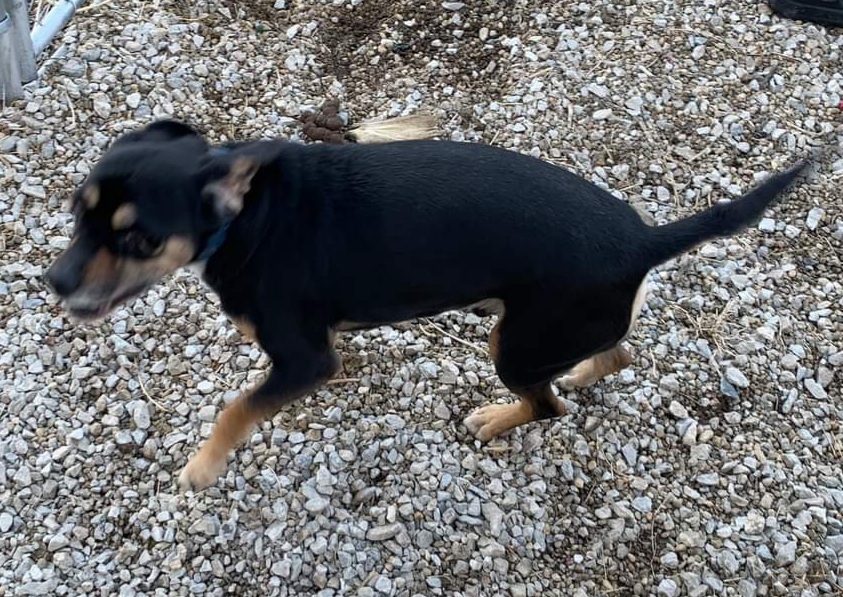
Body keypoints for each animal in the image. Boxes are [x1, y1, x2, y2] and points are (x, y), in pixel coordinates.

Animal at [46, 120, 812, 488]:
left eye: (139, 237)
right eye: (79, 212)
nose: (53, 281)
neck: (246, 216)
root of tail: (643, 240)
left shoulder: (299, 359)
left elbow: (236, 408)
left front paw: (203, 467)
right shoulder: (314, 353)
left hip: (516, 343)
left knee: (547, 405)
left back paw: (499, 416)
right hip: (557, 328)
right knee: (615, 352)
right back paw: (580, 372)